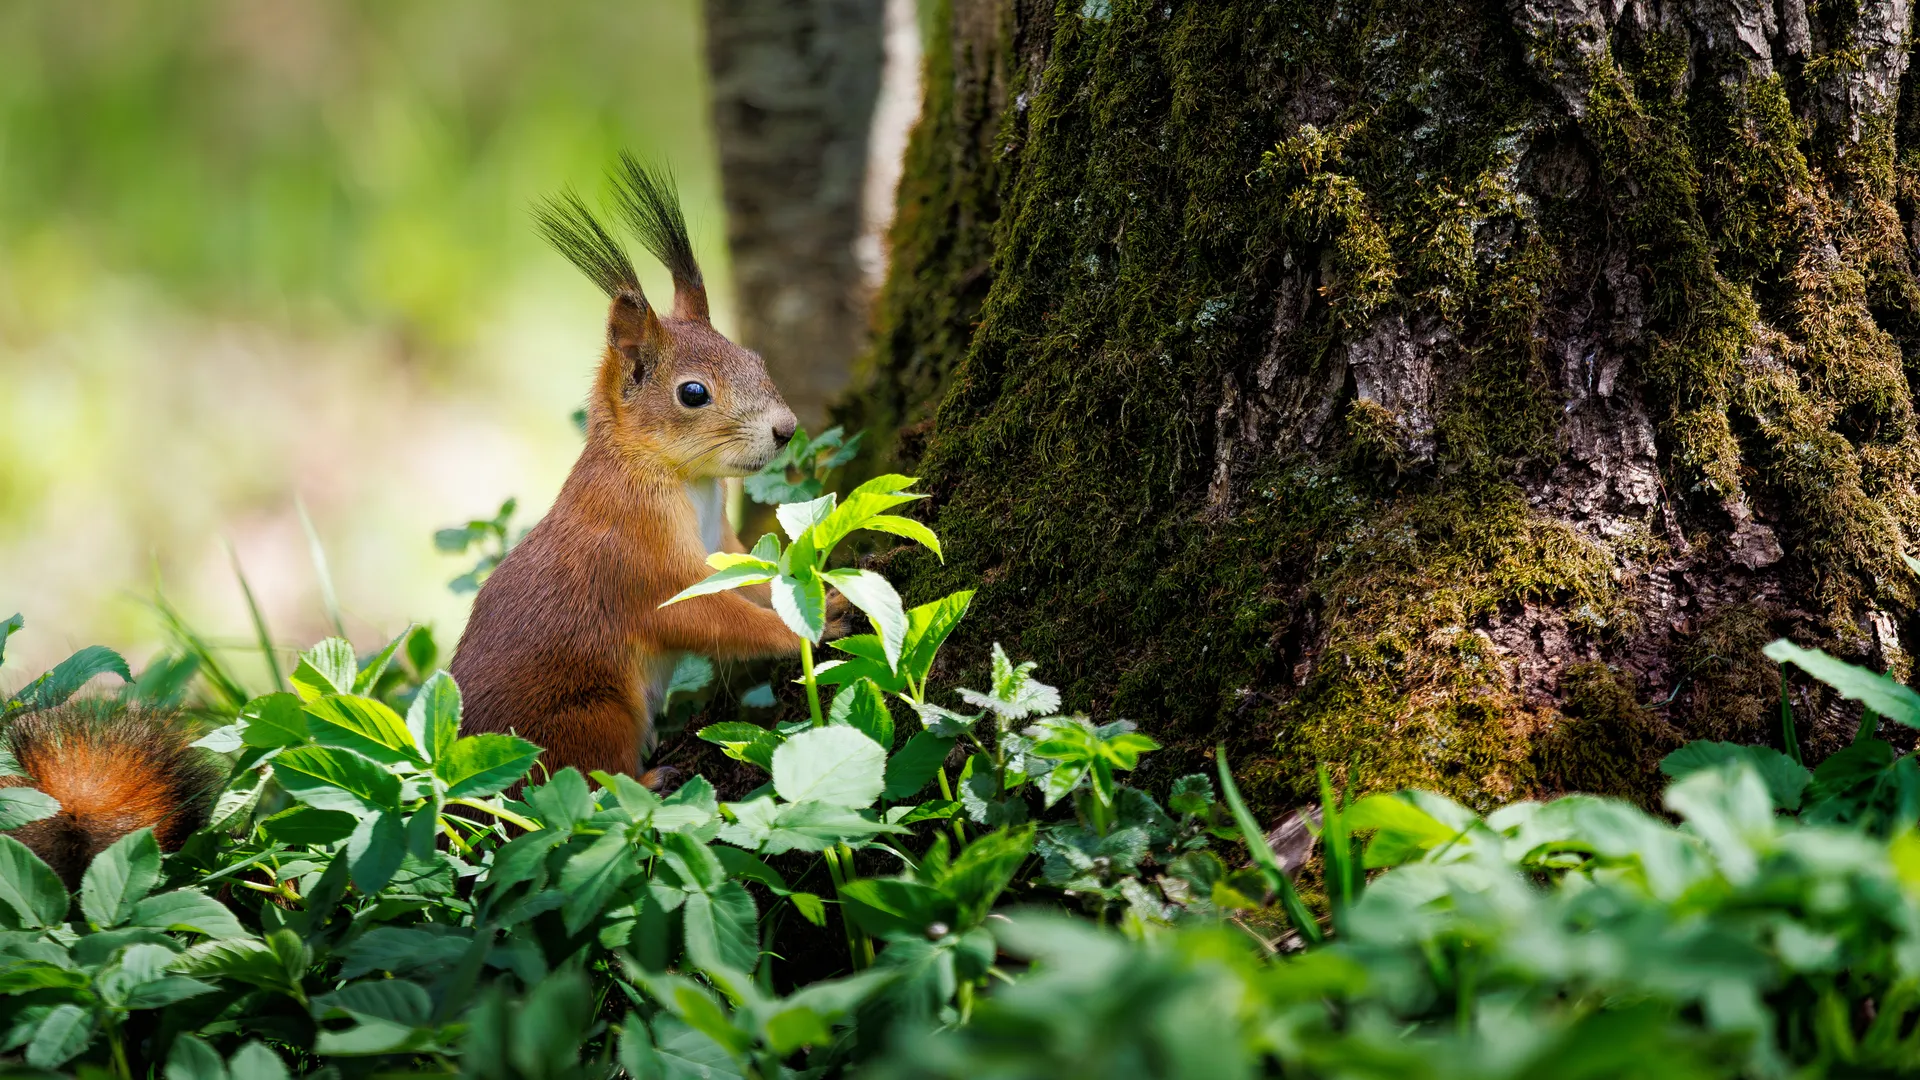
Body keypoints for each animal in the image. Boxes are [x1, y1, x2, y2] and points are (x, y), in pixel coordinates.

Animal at [449, 156, 838, 788]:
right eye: (693, 393)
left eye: (756, 358)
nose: (785, 429)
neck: (687, 481)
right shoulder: (641, 560)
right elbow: (711, 614)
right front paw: (804, 631)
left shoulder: (720, 542)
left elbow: (752, 578)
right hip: (591, 716)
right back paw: (650, 779)